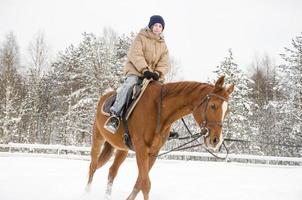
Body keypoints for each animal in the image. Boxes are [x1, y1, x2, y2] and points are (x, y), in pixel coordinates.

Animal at [86, 76, 235, 199]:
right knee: (93, 166)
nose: (215, 140)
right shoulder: (141, 149)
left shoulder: (153, 152)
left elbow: (139, 183)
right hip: (98, 138)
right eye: (213, 105)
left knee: (112, 171)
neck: (159, 110)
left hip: (122, 149)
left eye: (227, 111)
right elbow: (146, 185)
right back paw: (86, 192)